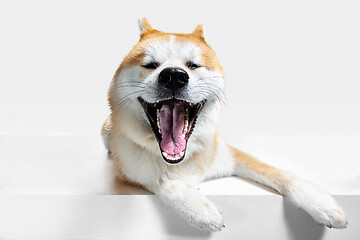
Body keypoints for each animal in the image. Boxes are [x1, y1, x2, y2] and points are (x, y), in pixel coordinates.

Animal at [100, 17, 346, 232]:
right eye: (151, 65)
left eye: (193, 65)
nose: (174, 76)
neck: (185, 158)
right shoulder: (133, 173)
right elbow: (164, 181)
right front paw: (200, 209)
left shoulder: (230, 155)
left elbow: (282, 174)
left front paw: (322, 203)